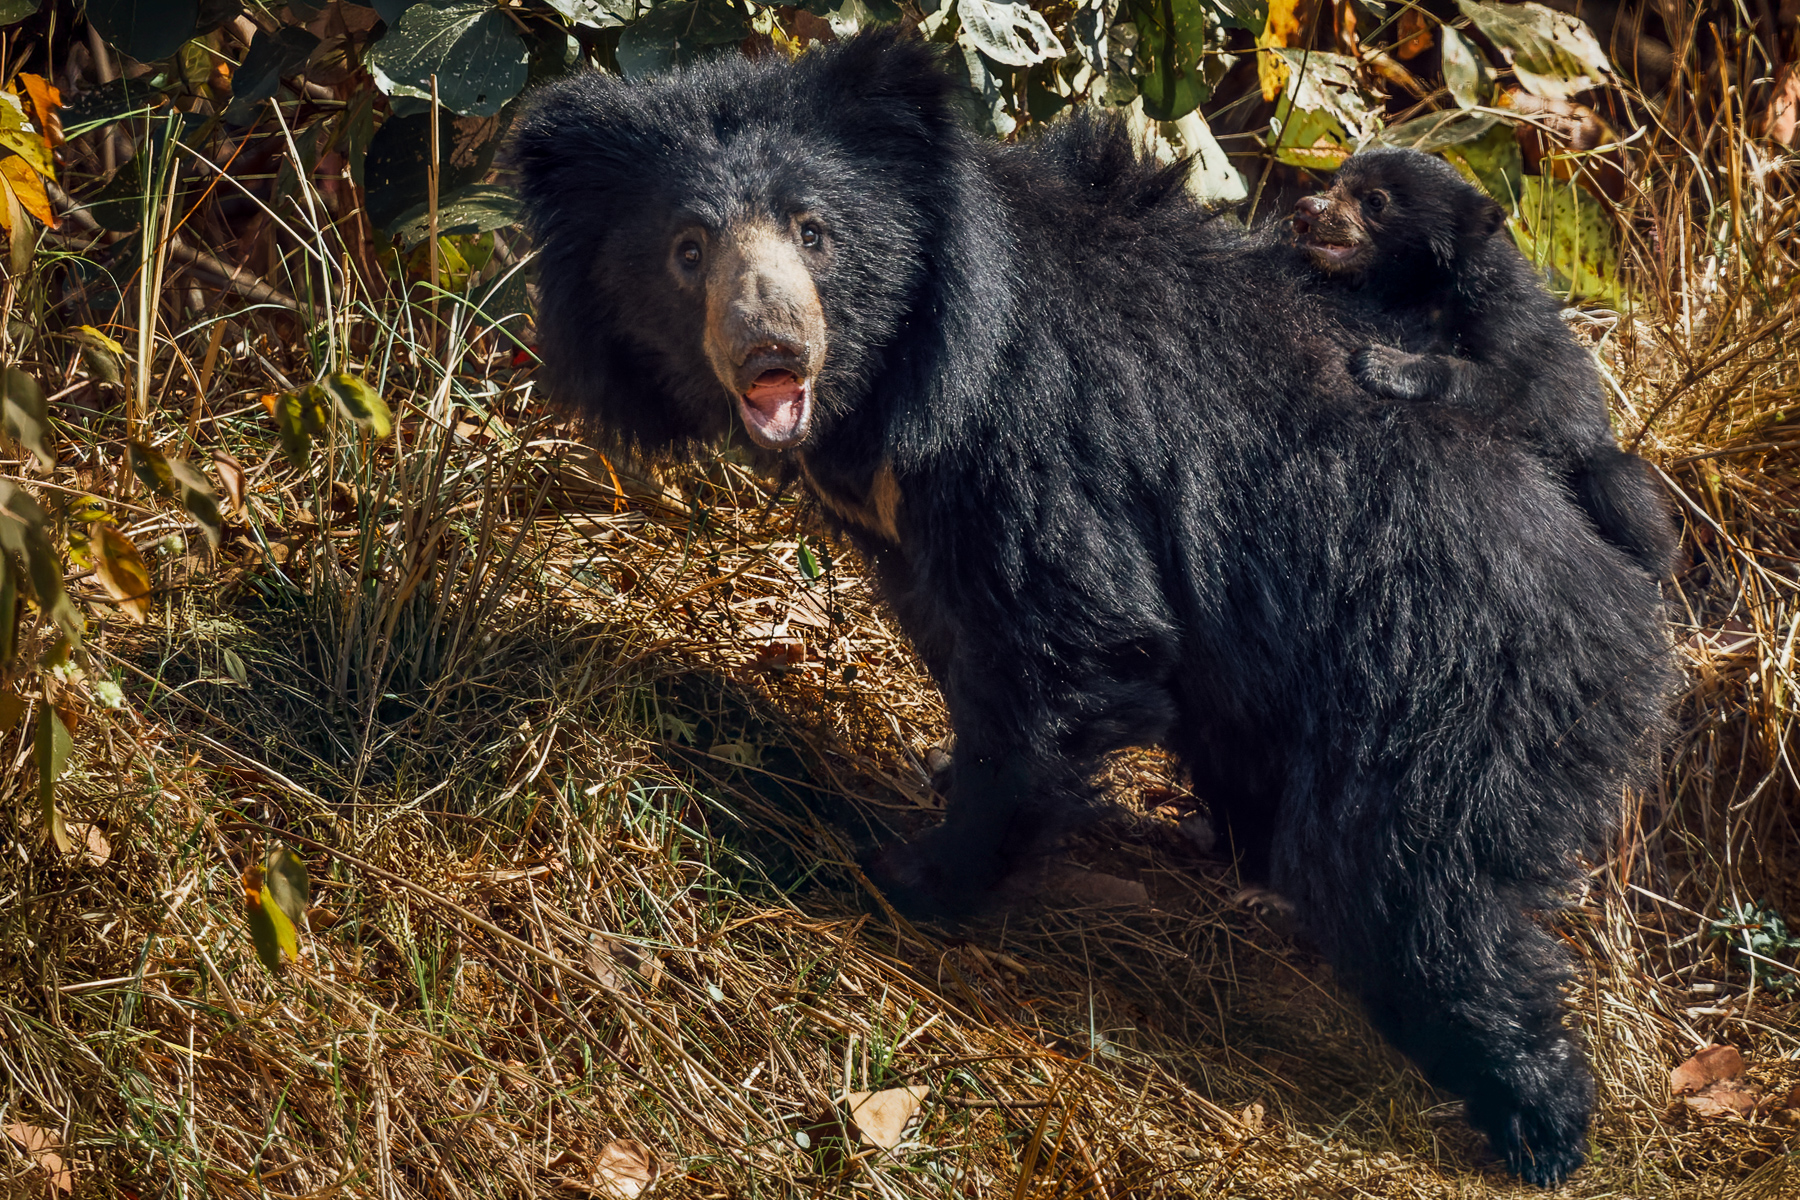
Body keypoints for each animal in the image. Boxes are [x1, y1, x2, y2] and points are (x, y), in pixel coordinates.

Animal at [1290, 147, 1678, 577]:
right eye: (1333, 183)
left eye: (1375, 200)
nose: (1307, 207)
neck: (1432, 286)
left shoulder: (1509, 321)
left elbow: (1513, 390)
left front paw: (1380, 363)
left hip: (1601, 463)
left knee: (1626, 493)